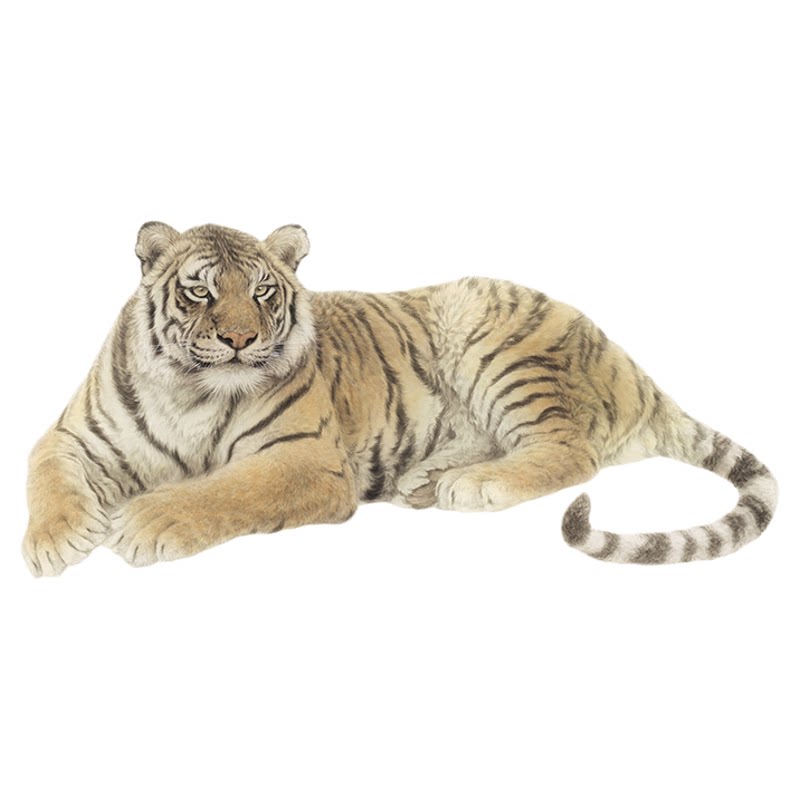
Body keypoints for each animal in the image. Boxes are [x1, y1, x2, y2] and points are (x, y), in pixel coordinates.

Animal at [22, 222, 778, 577]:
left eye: (263, 292)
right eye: (201, 291)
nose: (240, 339)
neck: (190, 391)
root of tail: (626, 360)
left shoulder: (306, 459)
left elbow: (222, 491)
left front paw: (148, 522)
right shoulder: (72, 435)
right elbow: (45, 473)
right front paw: (53, 544)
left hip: (494, 338)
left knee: (572, 451)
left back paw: (473, 485)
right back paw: (429, 480)